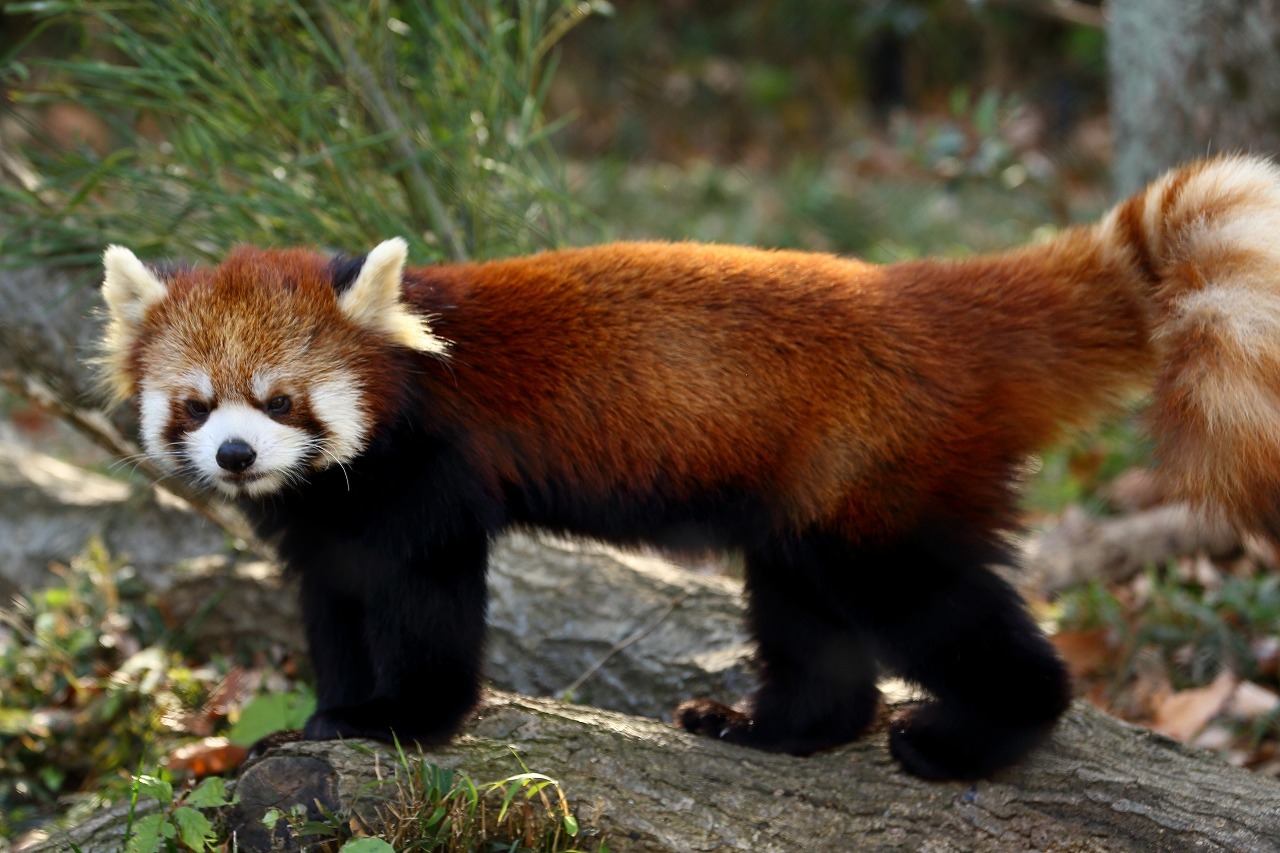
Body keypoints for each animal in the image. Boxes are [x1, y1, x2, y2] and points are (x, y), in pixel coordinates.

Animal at [102, 154, 1280, 778]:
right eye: (198, 404)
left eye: (281, 399)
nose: (238, 453)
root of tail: (924, 297)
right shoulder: (326, 524)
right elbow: (332, 605)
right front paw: (332, 712)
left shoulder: (427, 480)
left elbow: (429, 606)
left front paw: (406, 718)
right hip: (810, 499)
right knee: (807, 614)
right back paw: (777, 726)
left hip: (877, 485)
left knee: (927, 602)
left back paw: (975, 732)